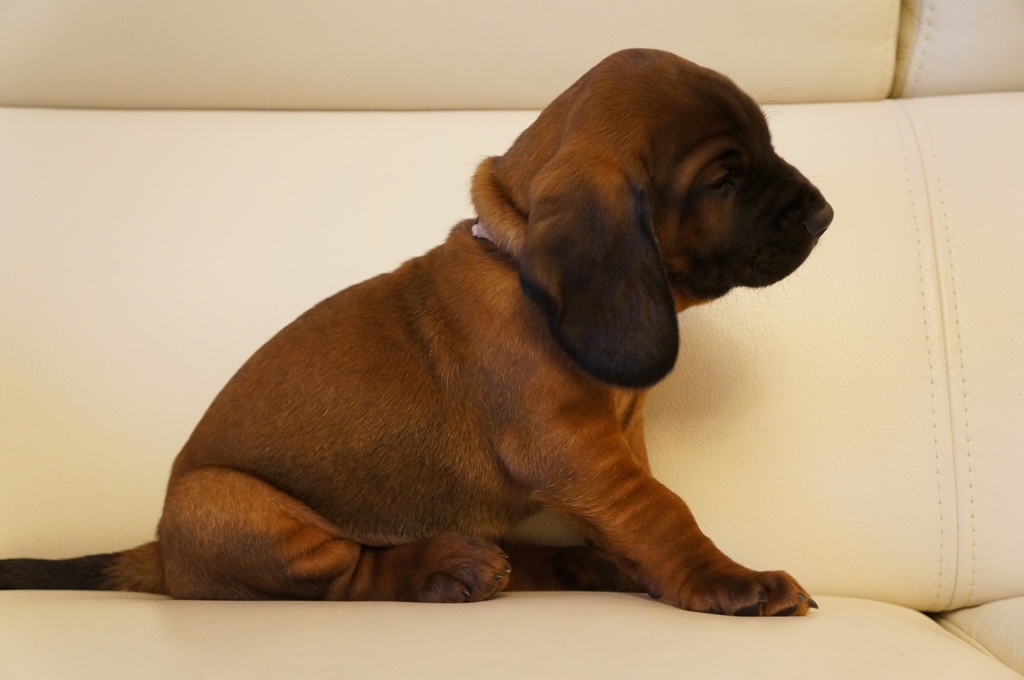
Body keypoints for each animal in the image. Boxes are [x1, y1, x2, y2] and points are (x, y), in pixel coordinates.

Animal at [0, 48, 832, 616]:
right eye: (724, 178)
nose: (825, 212)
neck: (516, 263)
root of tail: (162, 557)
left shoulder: (620, 443)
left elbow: (635, 518)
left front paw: (637, 568)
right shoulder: (576, 450)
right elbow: (661, 513)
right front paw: (727, 579)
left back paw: (550, 566)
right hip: (236, 505)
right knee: (352, 576)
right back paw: (446, 567)